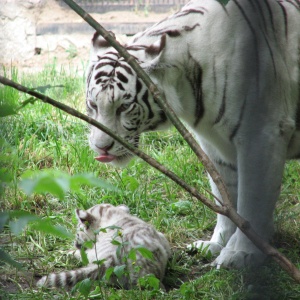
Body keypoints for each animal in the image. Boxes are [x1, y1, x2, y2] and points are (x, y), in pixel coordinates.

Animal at [85, 0, 298, 268]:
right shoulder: (213, 145)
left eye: (123, 107)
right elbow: (225, 196)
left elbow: (252, 201)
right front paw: (216, 244)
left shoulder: (262, 135)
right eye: (93, 105)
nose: (101, 148)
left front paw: (241, 253)